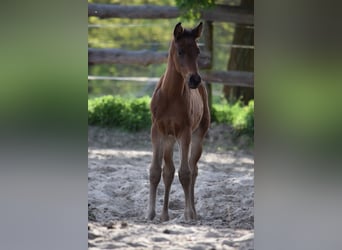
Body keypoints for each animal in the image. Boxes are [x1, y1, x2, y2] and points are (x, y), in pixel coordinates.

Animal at [148, 22, 210, 221]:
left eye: (198, 51)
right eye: (181, 51)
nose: (194, 79)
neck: (170, 96)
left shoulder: (185, 132)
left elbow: (185, 173)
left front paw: (188, 213)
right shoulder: (157, 130)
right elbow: (155, 171)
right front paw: (150, 213)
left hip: (198, 136)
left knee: (193, 169)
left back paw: (193, 212)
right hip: (169, 139)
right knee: (168, 171)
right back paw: (164, 215)